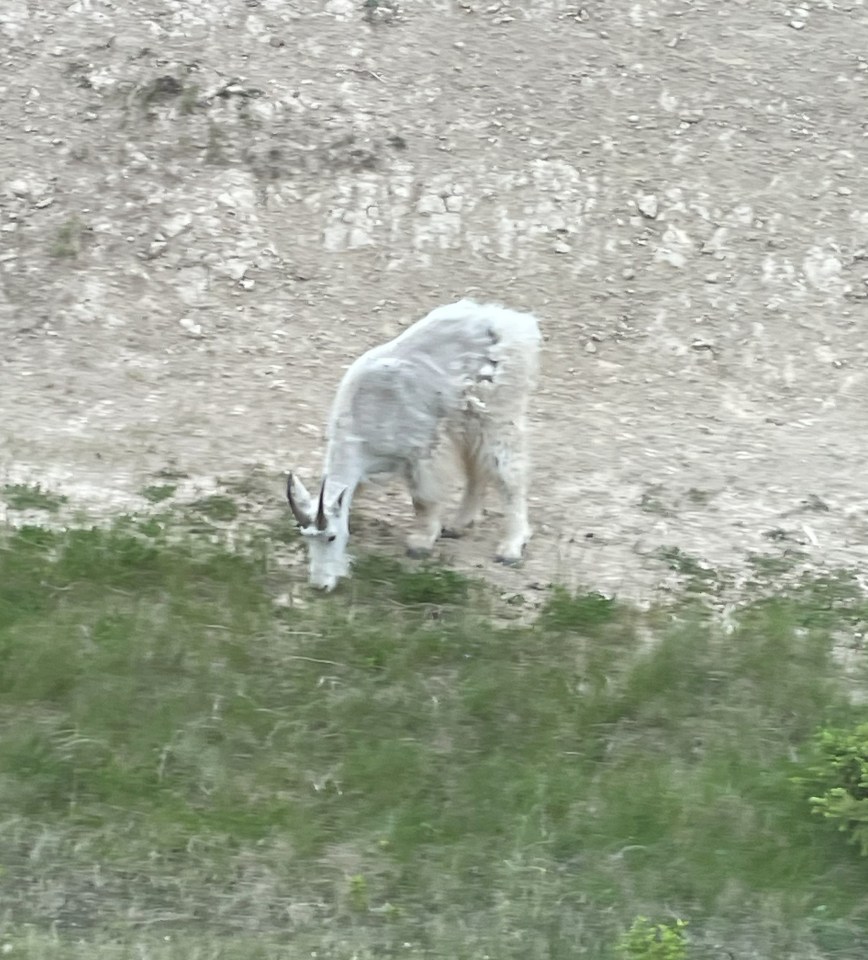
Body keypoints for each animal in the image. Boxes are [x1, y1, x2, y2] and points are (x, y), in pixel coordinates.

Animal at [287, 299, 541, 591]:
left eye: (331, 536)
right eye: (306, 537)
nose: (320, 586)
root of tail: (512, 322)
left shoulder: (421, 450)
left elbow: (423, 499)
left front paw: (420, 544)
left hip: (498, 411)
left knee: (508, 475)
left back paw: (511, 547)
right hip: (466, 419)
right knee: (476, 469)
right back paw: (459, 525)